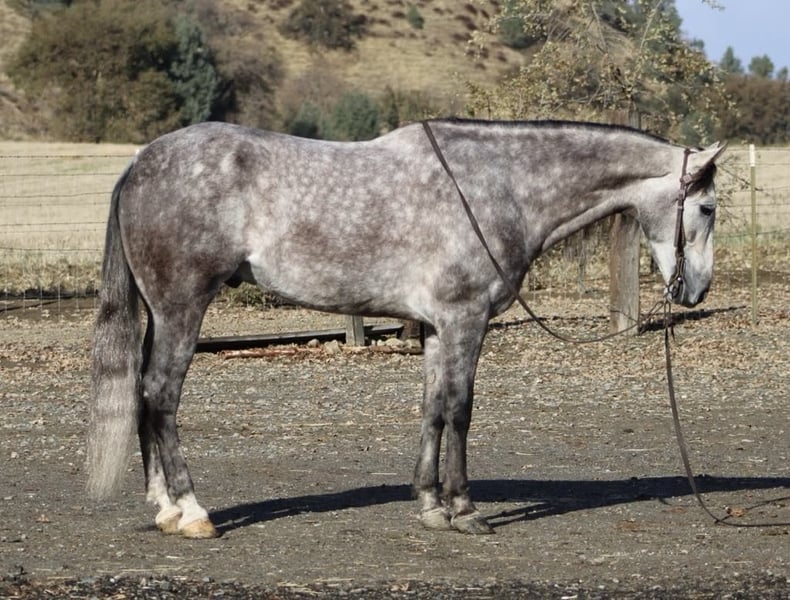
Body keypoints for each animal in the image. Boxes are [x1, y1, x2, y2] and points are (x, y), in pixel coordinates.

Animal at [87, 118, 726, 538]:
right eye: (708, 208)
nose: (696, 291)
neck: (498, 184)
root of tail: (139, 162)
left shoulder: (438, 326)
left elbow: (433, 409)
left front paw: (431, 504)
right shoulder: (466, 320)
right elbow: (461, 410)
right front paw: (465, 510)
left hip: (159, 313)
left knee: (144, 394)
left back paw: (165, 507)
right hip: (182, 307)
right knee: (162, 396)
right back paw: (193, 513)